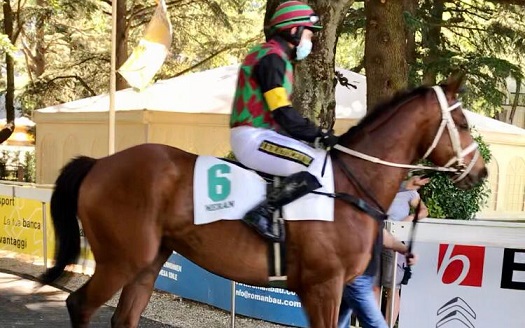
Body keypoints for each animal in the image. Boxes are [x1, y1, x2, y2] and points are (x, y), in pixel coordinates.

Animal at [41, 74, 488, 328]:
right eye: (463, 122)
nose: (481, 171)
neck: (352, 184)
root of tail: (100, 162)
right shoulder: (323, 287)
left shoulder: (333, 289)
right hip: (121, 259)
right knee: (80, 304)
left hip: (149, 262)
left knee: (123, 317)